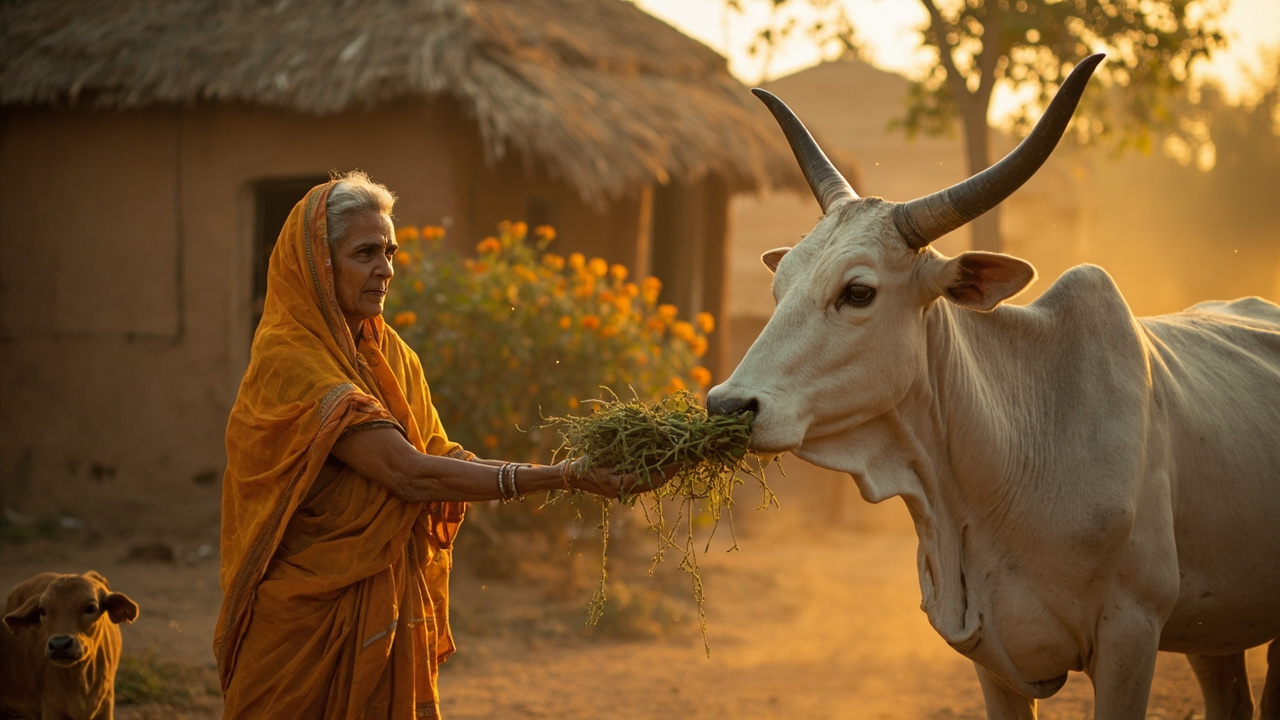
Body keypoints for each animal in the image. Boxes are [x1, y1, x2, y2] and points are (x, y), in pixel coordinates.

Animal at [707, 53, 1280, 720]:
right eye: (779, 288)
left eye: (858, 291)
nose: (729, 405)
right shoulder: (990, 659)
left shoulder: (1131, 633)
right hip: (1214, 632)